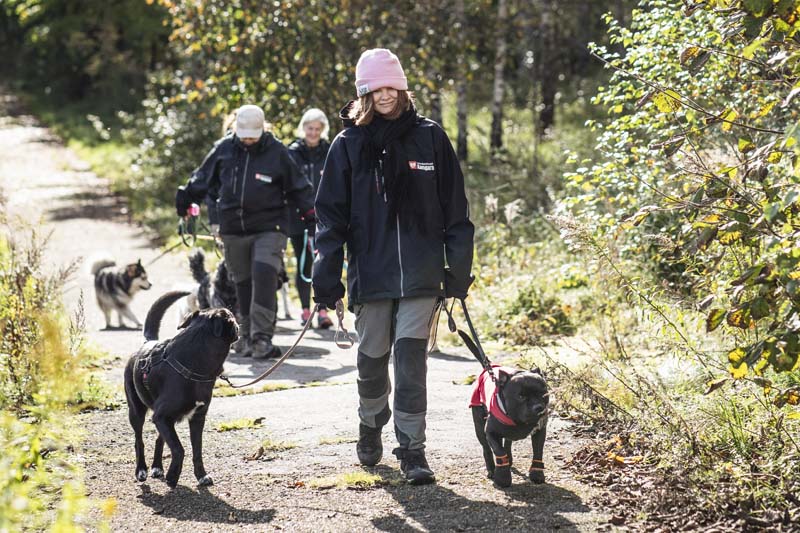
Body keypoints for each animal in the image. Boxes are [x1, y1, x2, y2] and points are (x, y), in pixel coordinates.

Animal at [123, 290, 239, 486]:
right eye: (231, 317)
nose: (239, 325)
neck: (191, 364)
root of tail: (148, 342)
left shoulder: (197, 418)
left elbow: (197, 450)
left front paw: (201, 475)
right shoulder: (162, 416)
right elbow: (179, 448)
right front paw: (173, 476)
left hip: (163, 419)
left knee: (159, 439)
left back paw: (157, 467)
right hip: (137, 411)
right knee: (139, 440)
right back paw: (141, 470)